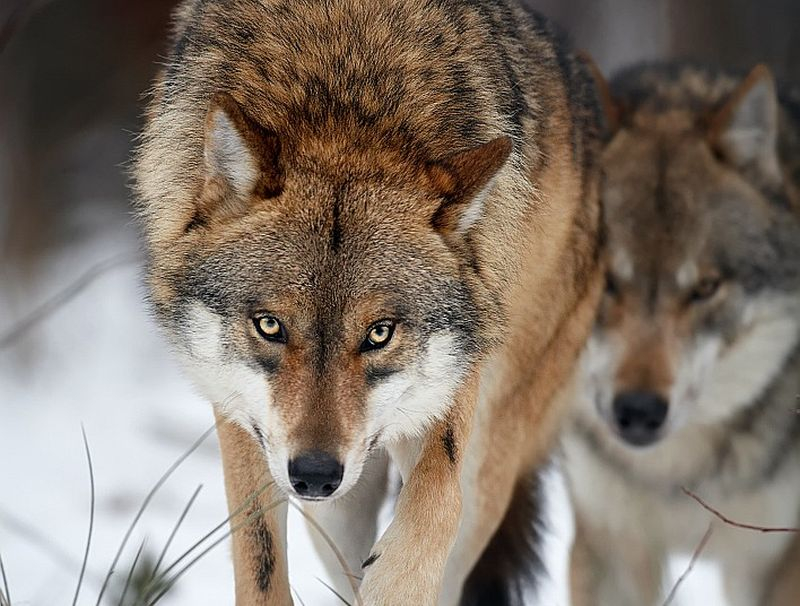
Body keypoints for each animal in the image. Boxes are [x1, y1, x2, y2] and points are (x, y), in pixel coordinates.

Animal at [134, 2, 604, 604]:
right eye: (269, 326)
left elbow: (435, 503)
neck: (345, 99)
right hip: (334, 508)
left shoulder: (451, 389)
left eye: (380, 333)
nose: (314, 473)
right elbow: (257, 555)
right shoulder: (241, 417)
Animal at [564, 60, 800, 606]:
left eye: (705, 287)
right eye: (608, 281)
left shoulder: (772, 564)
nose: (638, 411)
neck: (674, 474)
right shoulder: (610, 545)